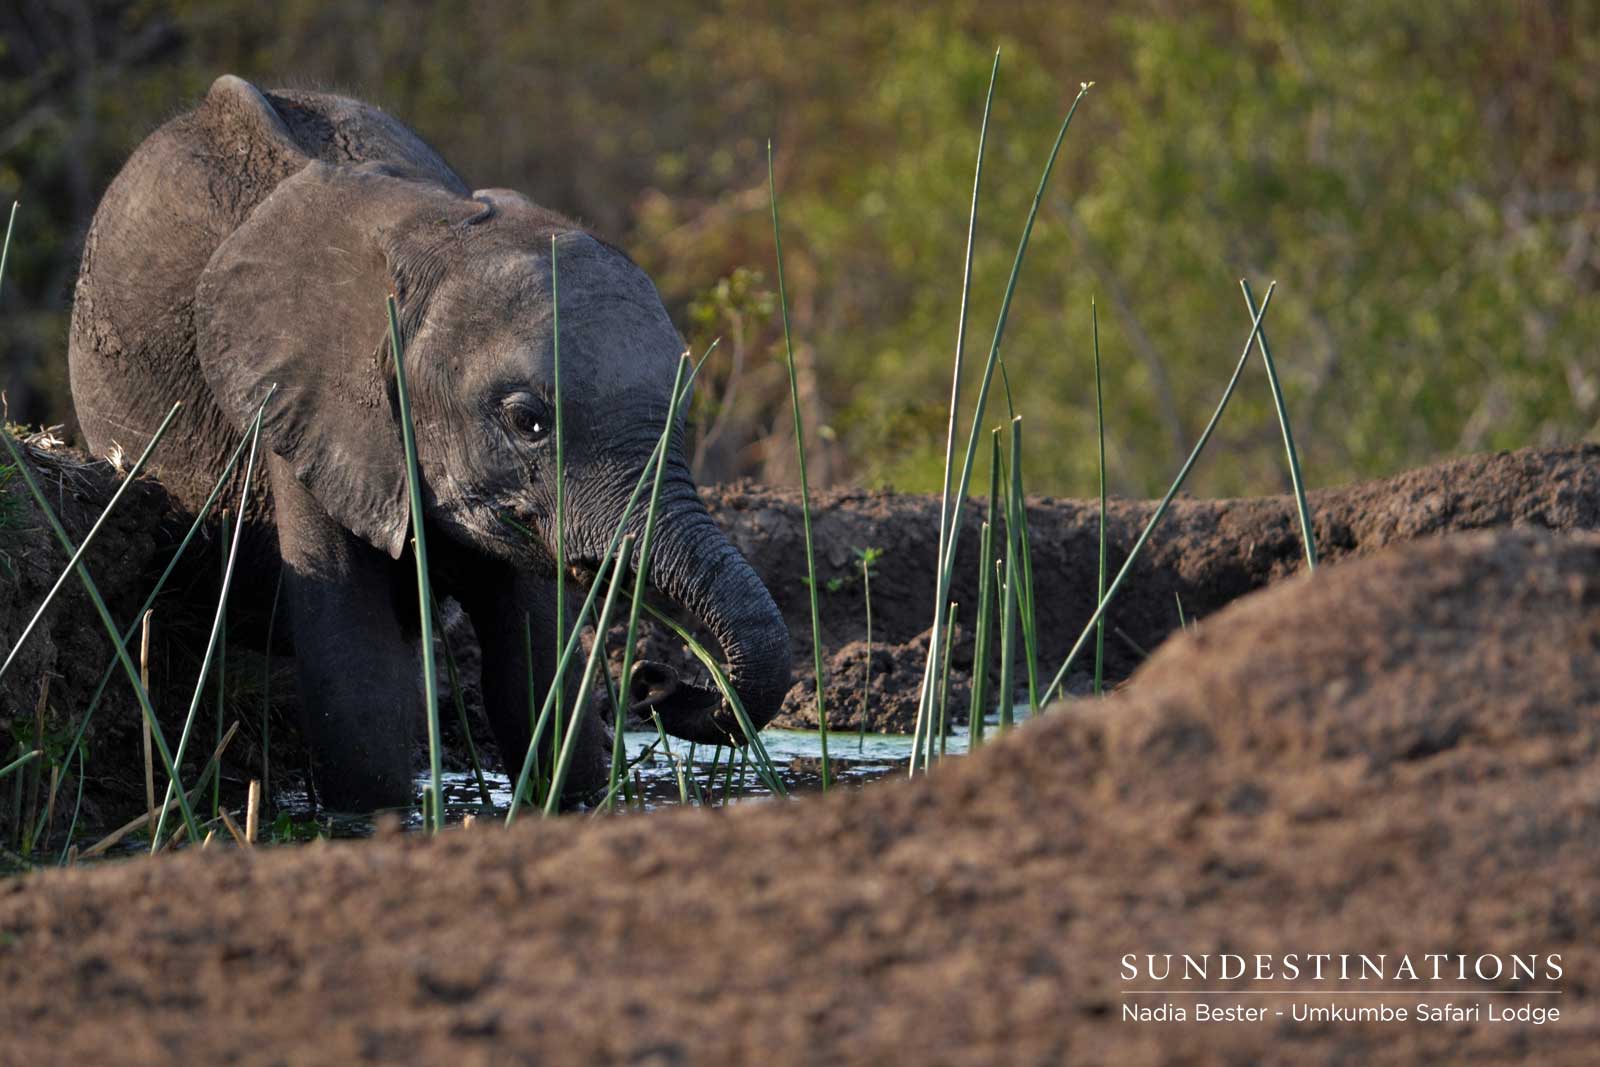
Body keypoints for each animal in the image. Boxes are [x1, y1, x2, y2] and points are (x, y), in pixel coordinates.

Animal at [67, 75, 791, 810]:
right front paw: (376, 815)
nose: (653, 680)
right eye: (528, 421)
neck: (430, 234)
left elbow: (535, 672)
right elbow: (357, 679)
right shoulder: (300, 410)